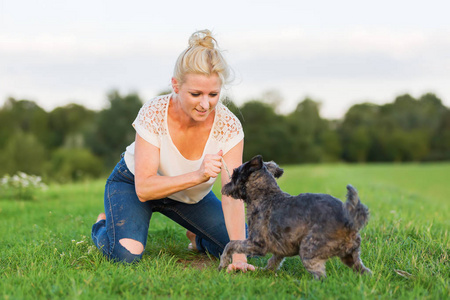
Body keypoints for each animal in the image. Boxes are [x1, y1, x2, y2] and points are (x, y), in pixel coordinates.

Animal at [219, 156, 372, 280]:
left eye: (234, 175)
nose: (224, 187)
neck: (266, 194)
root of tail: (348, 218)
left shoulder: (257, 244)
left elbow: (231, 244)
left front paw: (223, 263)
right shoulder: (280, 247)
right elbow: (273, 261)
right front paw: (265, 272)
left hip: (308, 250)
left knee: (321, 277)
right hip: (351, 256)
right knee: (364, 271)